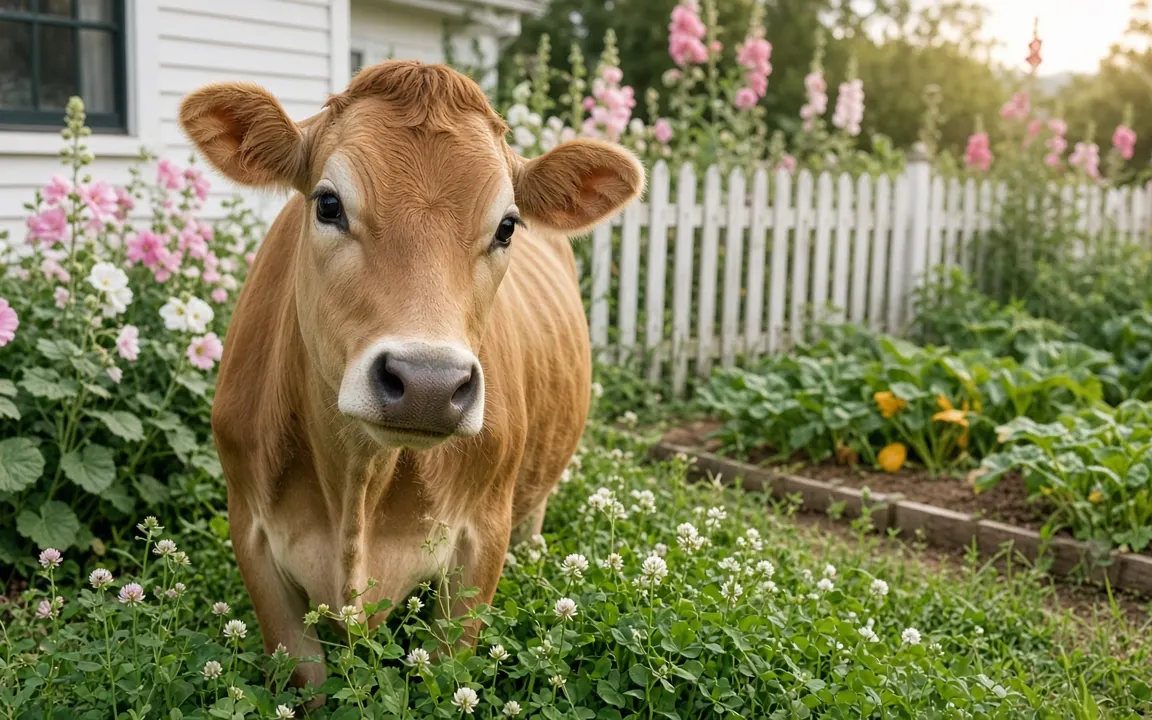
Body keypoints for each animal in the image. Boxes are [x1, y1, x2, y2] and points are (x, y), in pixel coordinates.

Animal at [177, 60, 643, 697]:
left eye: (507, 226)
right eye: (328, 204)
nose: (428, 383)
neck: (357, 484)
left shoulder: (482, 535)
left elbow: (448, 672)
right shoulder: (251, 533)